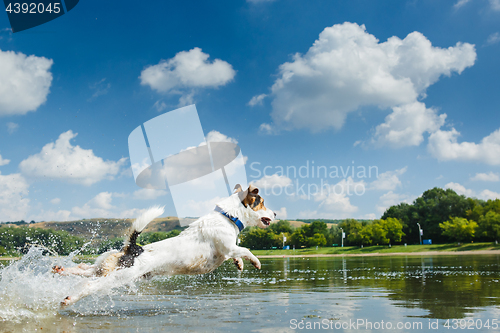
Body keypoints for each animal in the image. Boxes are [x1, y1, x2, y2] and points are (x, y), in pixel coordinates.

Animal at [54, 184, 276, 306]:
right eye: (262, 202)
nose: (275, 213)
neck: (228, 216)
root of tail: (134, 248)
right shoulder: (227, 247)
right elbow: (245, 250)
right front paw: (255, 262)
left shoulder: (228, 250)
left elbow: (237, 254)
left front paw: (239, 263)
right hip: (121, 275)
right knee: (90, 285)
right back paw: (69, 299)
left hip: (106, 267)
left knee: (85, 268)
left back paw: (62, 269)